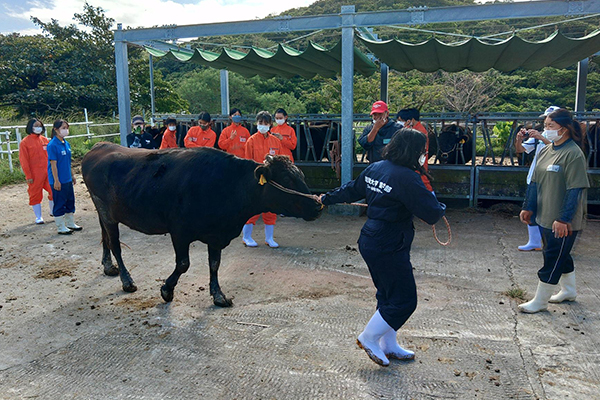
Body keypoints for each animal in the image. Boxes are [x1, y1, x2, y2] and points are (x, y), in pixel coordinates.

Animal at [83, 143, 324, 306]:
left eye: (301, 175)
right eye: (287, 179)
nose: (317, 205)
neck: (228, 185)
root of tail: (100, 146)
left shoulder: (216, 234)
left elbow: (215, 264)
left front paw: (218, 295)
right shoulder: (179, 231)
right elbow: (183, 264)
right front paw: (167, 290)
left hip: (103, 211)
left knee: (105, 238)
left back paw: (108, 266)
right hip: (107, 212)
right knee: (115, 244)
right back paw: (126, 280)